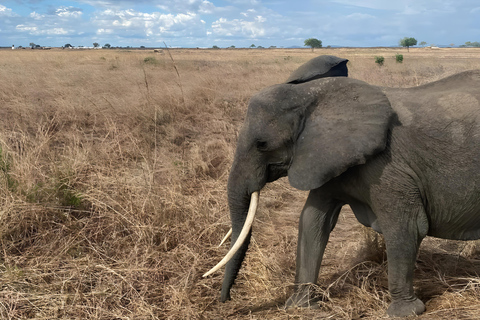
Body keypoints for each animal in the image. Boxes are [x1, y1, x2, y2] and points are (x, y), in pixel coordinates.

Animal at [203, 55, 480, 318]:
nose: (225, 300)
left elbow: (406, 226)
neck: (311, 96)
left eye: (262, 144)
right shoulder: (325, 159)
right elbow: (312, 222)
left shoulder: (387, 167)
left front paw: (404, 313)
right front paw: (299, 306)